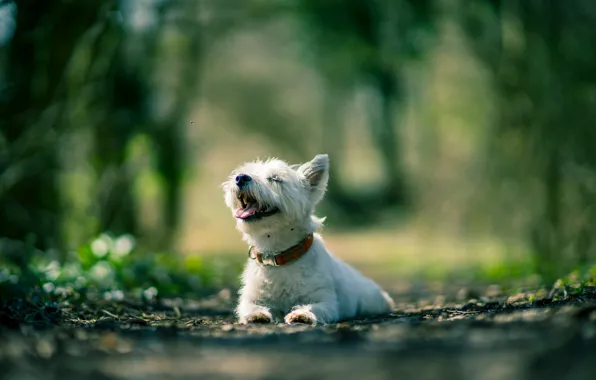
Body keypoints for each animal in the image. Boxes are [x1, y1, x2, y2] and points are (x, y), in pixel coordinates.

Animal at [221, 153, 394, 326]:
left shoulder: (326, 301)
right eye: (245, 172)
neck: (280, 255)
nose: (240, 178)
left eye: (275, 178)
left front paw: (302, 314)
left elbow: (315, 307)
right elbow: (251, 306)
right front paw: (257, 315)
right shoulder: (252, 297)